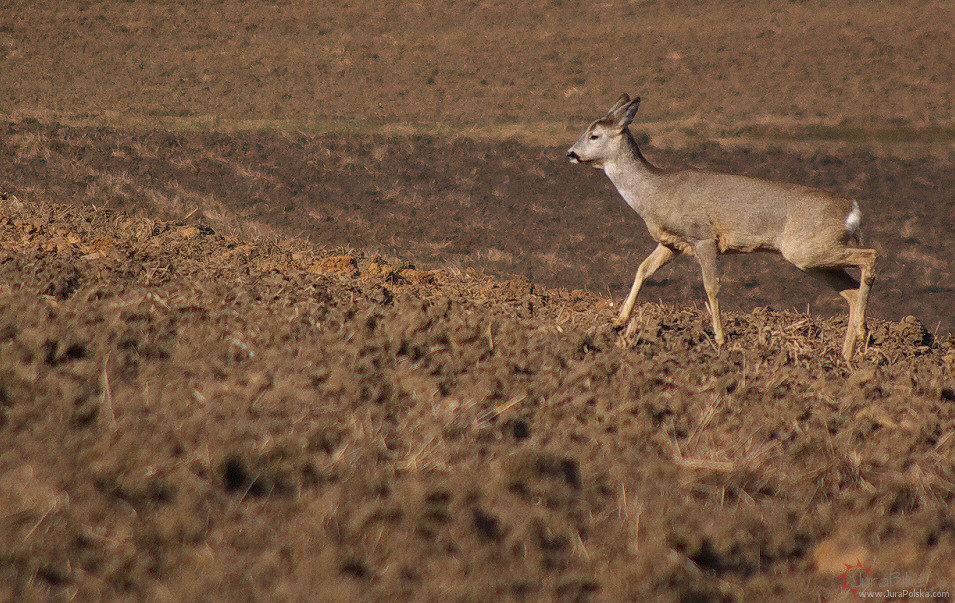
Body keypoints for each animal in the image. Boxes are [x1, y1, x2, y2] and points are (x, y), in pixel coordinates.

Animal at [572, 94, 876, 358]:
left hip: (807, 249)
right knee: (851, 291)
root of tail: (853, 210)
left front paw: (719, 339)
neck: (657, 193)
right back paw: (847, 354)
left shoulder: (704, 236)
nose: (570, 153)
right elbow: (643, 269)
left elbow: (711, 286)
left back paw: (862, 333)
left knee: (869, 256)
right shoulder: (673, 242)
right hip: (813, 258)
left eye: (594, 135)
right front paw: (618, 320)